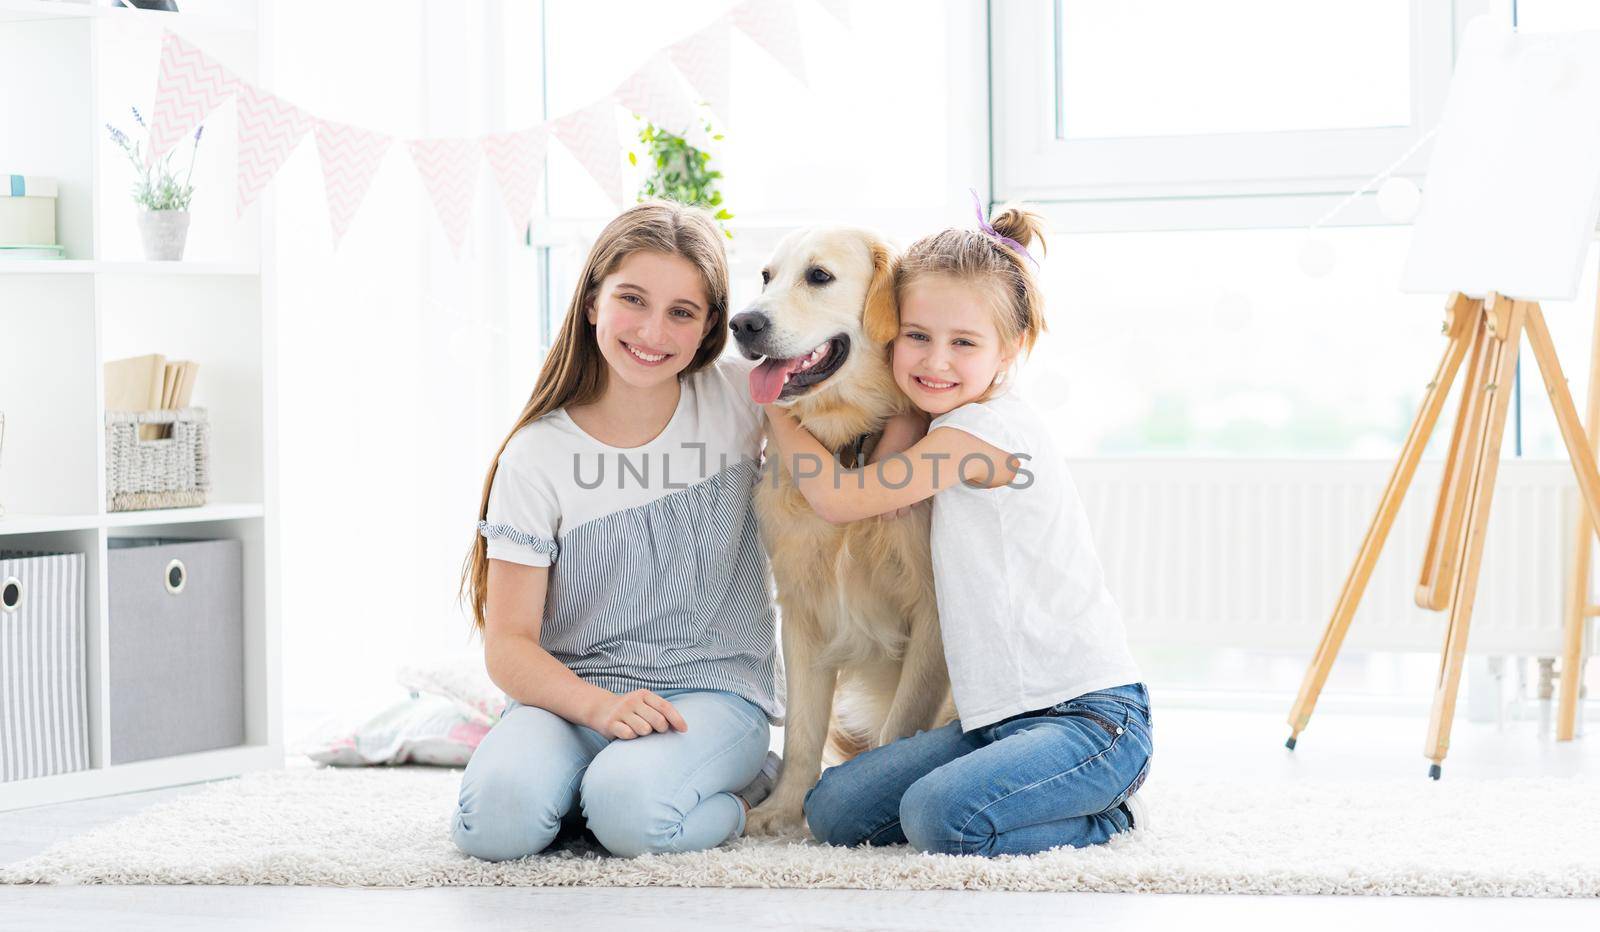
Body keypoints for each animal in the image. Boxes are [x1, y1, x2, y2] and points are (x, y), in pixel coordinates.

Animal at [732, 228, 953, 839]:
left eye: (819, 276)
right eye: (766, 276)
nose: (742, 323)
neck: (850, 448)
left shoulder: (933, 614)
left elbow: (900, 727)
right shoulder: (802, 609)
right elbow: (802, 731)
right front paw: (783, 812)